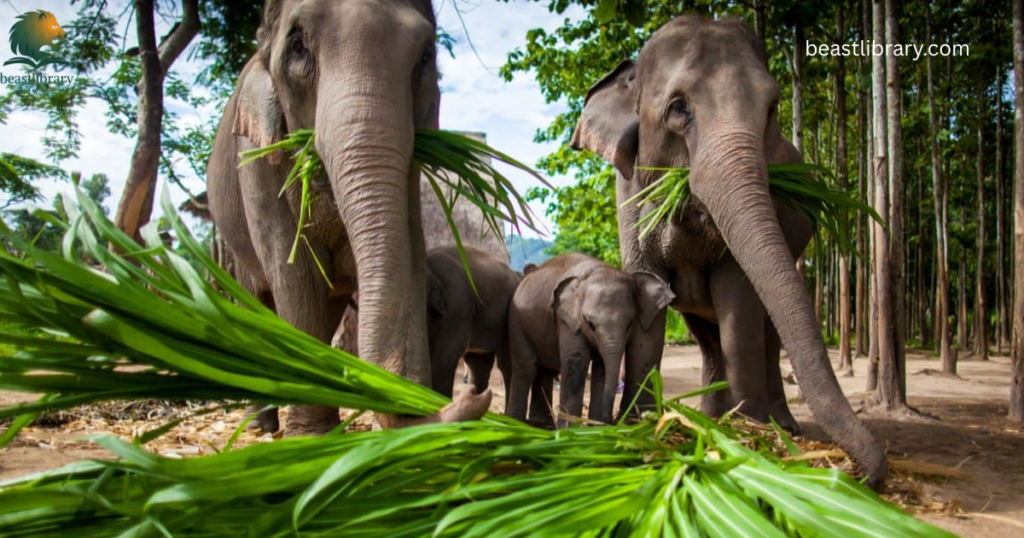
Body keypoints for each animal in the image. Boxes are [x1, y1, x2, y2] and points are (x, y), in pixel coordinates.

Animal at [206, 0, 490, 435]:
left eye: (426, 56)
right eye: (298, 47)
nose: (474, 395)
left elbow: (409, 250)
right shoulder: (254, 159)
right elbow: (294, 272)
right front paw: (310, 436)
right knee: (257, 298)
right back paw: (261, 425)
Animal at [506, 254, 674, 427]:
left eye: (630, 324)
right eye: (590, 324)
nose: (610, 421)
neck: (596, 270)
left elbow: (601, 369)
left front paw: (596, 427)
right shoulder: (566, 319)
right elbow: (576, 361)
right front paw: (570, 429)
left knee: (545, 371)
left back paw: (542, 424)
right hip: (516, 321)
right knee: (526, 367)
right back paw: (514, 423)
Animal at [570, 15, 887, 488]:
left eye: (772, 108)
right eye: (678, 107)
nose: (857, 474)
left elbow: (738, 297)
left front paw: (749, 432)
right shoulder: (626, 194)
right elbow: (648, 294)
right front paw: (640, 424)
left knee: (766, 333)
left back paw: (777, 424)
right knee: (705, 336)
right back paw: (707, 416)